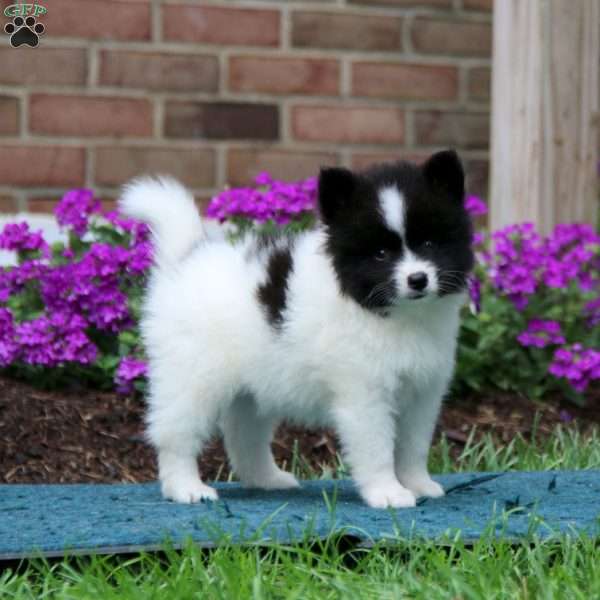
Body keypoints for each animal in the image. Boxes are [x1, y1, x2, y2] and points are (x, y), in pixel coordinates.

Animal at [120, 149, 474, 506]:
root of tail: (184, 261)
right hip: (191, 378)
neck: (392, 314)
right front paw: (387, 493)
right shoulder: (365, 395)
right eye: (381, 254)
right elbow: (377, 449)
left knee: (244, 436)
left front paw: (418, 484)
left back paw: (268, 480)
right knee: (176, 434)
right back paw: (186, 488)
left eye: (429, 243)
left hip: (251, 388)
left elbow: (413, 447)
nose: (418, 279)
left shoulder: (422, 394)